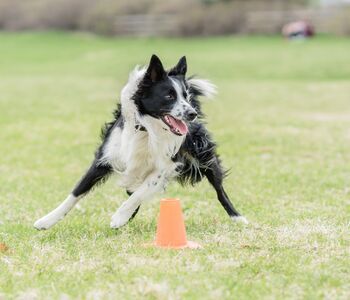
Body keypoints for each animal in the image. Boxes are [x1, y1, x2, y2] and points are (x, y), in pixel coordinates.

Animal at [32, 54, 246, 230]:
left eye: (185, 96)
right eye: (169, 95)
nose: (192, 113)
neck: (144, 128)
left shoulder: (169, 165)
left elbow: (141, 191)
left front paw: (119, 216)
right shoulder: (105, 158)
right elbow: (75, 193)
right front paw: (47, 220)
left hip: (204, 155)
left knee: (219, 189)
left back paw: (237, 217)